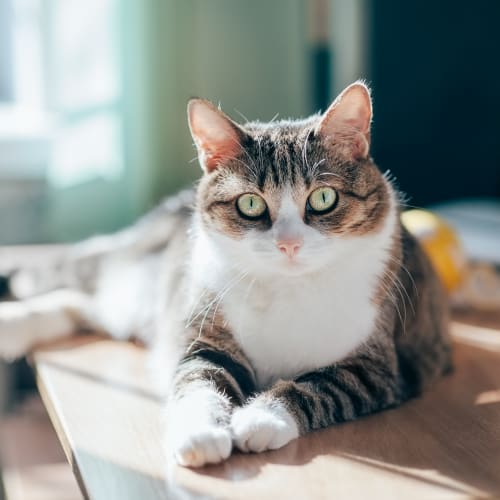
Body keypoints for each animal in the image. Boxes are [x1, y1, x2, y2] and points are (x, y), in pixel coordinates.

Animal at [0, 80, 452, 466]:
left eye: (323, 198)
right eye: (250, 204)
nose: (289, 244)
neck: (288, 288)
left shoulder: (378, 367)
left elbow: (315, 387)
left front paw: (261, 418)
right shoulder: (207, 336)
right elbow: (200, 382)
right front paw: (200, 435)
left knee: (88, 305)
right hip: (144, 285)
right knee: (84, 290)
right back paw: (15, 324)